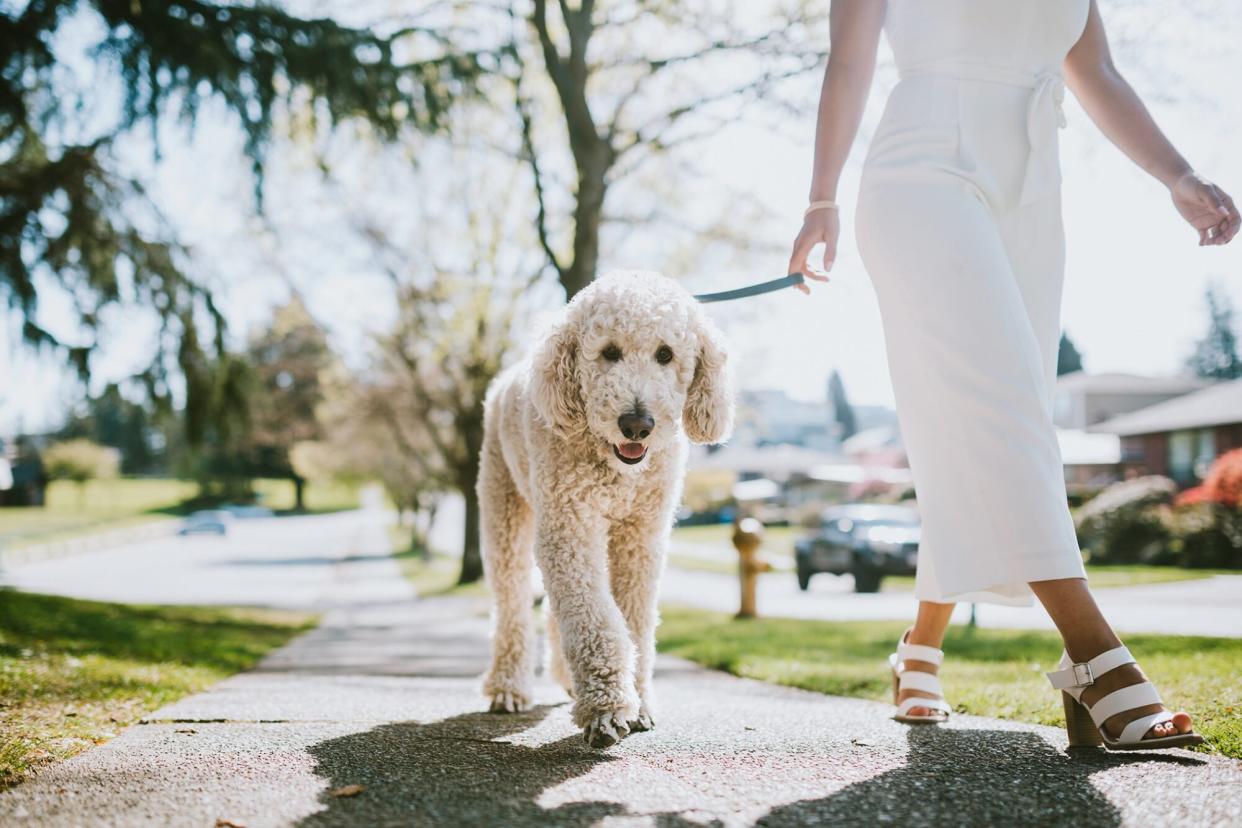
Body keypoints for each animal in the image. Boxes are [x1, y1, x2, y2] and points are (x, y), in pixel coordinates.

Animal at [471, 269, 725, 749]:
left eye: (666, 354)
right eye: (609, 352)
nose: (637, 424)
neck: (613, 464)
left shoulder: (641, 536)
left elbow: (633, 621)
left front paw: (637, 702)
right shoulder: (568, 527)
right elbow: (594, 618)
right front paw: (606, 708)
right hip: (504, 508)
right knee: (512, 604)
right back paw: (509, 688)